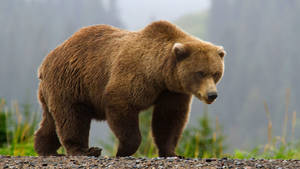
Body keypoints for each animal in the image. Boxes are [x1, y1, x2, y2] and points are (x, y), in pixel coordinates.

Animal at [34, 20, 225, 157]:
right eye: (200, 73)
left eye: (216, 73)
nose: (212, 95)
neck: (160, 74)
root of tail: (45, 62)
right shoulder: (134, 76)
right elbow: (121, 104)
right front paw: (122, 151)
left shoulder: (172, 91)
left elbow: (169, 118)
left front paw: (172, 152)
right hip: (70, 83)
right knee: (72, 117)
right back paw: (85, 150)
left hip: (55, 90)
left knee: (51, 120)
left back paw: (45, 149)